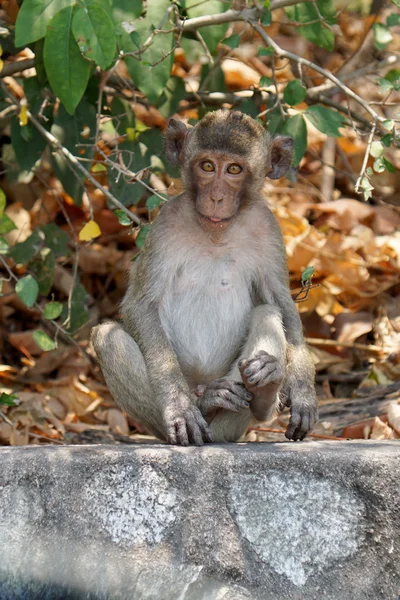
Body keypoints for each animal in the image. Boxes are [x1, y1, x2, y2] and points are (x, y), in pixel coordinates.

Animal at [91, 109, 318, 446]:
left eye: (234, 169)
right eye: (208, 166)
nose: (216, 198)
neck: (216, 233)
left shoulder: (268, 227)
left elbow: (282, 302)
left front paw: (302, 391)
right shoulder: (165, 225)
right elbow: (140, 305)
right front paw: (179, 406)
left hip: (232, 426)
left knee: (267, 312)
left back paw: (262, 391)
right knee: (109, 338)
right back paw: (204, 404)